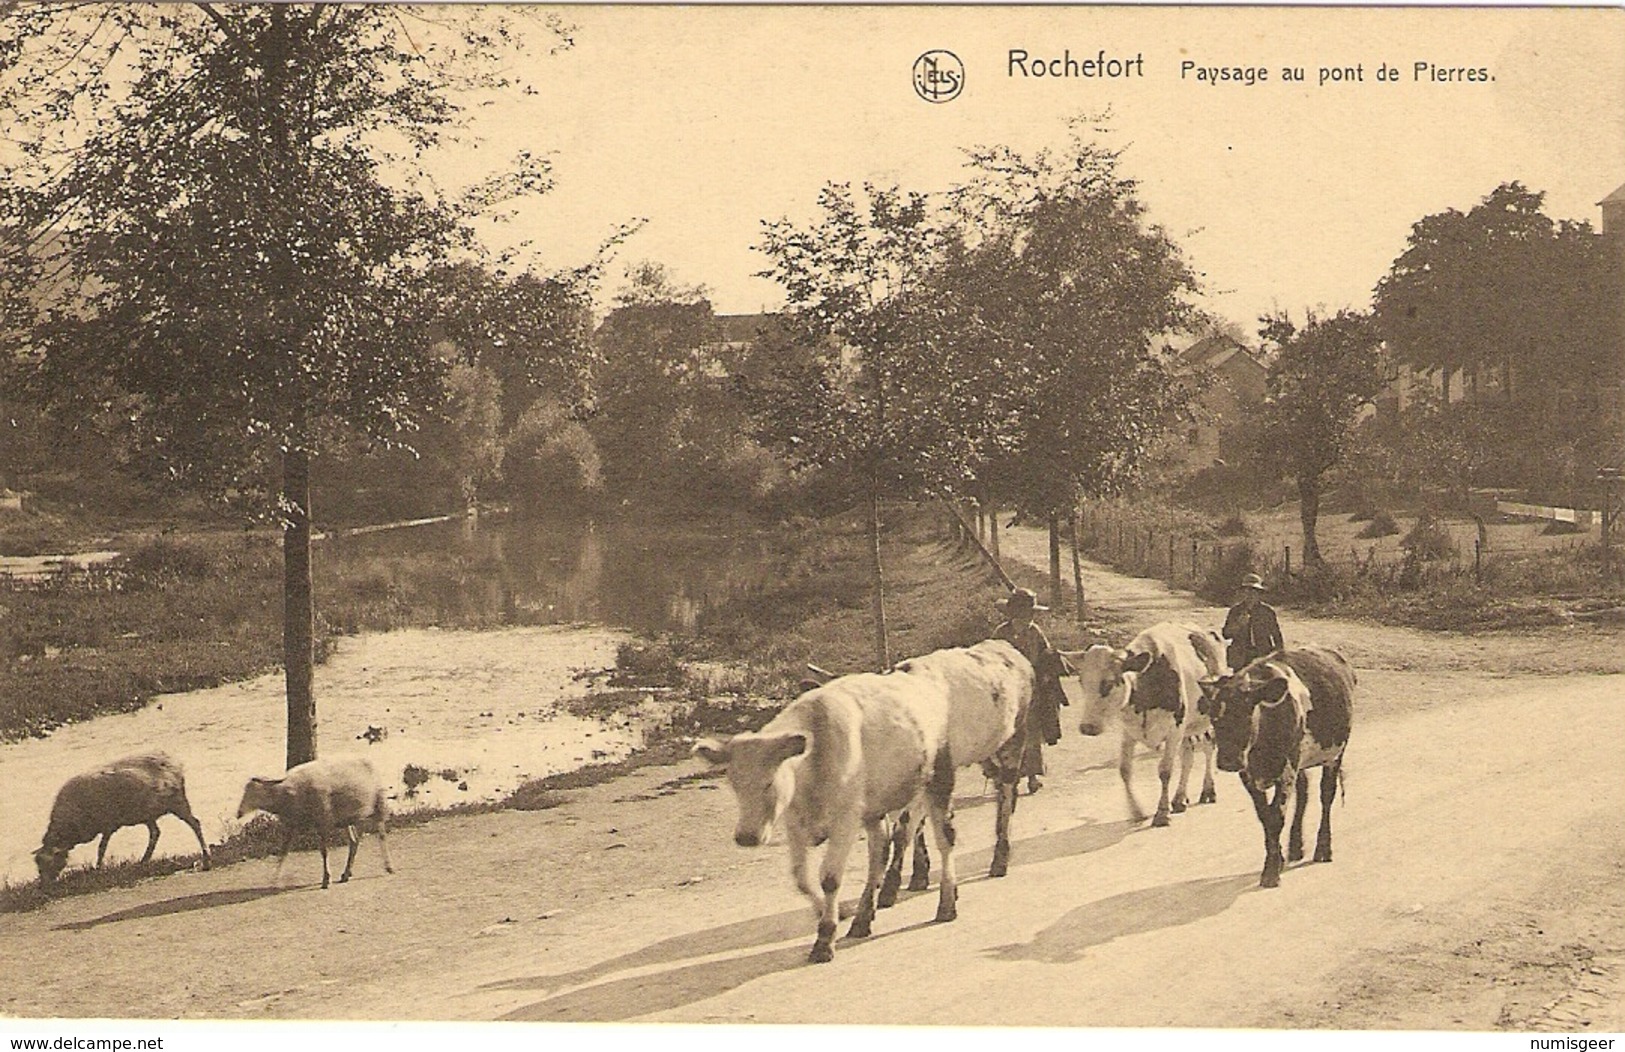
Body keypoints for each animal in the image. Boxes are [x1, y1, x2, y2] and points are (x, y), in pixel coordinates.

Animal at [36, 754, 214, 884]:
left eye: (51, 861)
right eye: (37, 863)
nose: (44, 886)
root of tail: (173, 762)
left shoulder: (108, 825)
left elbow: (101, 848)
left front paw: (98, 868)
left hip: (177, 802)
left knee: (195, 824)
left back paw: (206, 857)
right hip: (148, 814)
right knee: (155, 833)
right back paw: (144, 860)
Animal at [237, 757, 394, 891]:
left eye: (255, 793)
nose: (238, 813)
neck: (289, 793)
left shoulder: (322, 823)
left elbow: (324, 851)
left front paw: (326, 879)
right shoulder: (292, 825)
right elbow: (284, 851)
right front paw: (275, 880)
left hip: (378, 804)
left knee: (381, 835)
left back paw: (388, 867)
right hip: (346, 819)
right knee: (354, 841)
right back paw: (346, 874)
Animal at [695, 637, 1027, 969]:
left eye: (769, 781)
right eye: (733, 783)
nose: (747, 837)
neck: (816, 755)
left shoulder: (845, 821)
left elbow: (829, 878)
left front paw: (824, 939)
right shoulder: (796, 824)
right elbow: (801, 878)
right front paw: (837, 913)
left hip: (940, 781)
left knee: (948, 840)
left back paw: (948, 901)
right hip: (879, 808)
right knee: (881, 853)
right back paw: (864, 918)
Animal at [1059, 621, 1222, 825]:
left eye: (1109, 682)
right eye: (1081, 681)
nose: (1087, 727)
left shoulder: (1174, 729)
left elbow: (1165, 771)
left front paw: (1161, 813)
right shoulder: (1129, 731)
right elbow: (1125, 770)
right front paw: (1136, 811)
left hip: (1208, 718)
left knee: (1209, 748)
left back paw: (1208, 791)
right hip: (1188, 727)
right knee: (1188, 757)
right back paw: (1179, 799)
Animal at [1202, 650, 1352, 891]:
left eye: (1247, 714)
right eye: (1214, 717)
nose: (1228, 761)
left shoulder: (1286, 769)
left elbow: (1276, 816)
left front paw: (1271, 871)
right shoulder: (1249, 775)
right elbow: (1264, 816)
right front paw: (1278, 859)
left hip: (1335, 754)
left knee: (1326, 796)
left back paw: (1323, 848)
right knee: (1304, 793)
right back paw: (1296, 846)